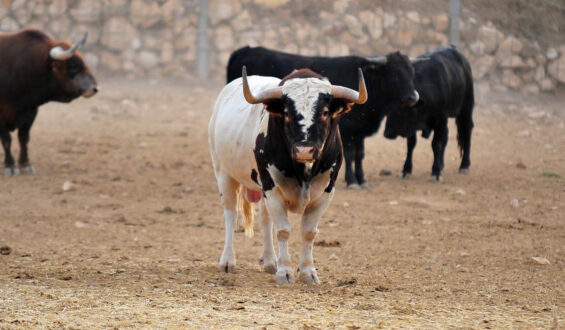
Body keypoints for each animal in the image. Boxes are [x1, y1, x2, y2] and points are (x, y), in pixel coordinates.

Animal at [207, 66, 366, 284]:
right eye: (286, 113)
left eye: (325, 112)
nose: (304, 150)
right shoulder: (272, 188)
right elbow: (283, 230)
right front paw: (285, 272)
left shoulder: (325, 192)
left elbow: (308, 232)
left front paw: (308, 272)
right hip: (224, 174)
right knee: (231, 215)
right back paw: (228, 261)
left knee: (265, 220)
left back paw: (269, 261)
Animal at [226, 46, 424, 188]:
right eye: (394, 74)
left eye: (412, 73)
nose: (413, 97)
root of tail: (245, 49)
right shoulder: (348, 131)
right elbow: (351, 154)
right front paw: (352, 181)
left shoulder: (359, 131)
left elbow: (360, 155)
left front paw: (362, 180)